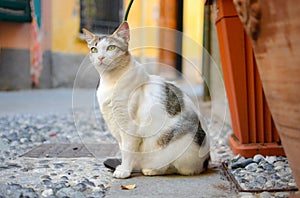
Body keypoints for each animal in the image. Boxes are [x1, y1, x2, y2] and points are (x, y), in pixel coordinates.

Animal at [83, 22, 210, 179]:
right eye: (93, 49)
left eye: (111, 47)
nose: (100, 57)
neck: (111, 81)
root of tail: (206, 162)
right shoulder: (116, 126)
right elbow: (124, 149)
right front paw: (126, 166)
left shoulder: (129, 127)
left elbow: (128, 150)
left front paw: (124, 171)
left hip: (177, 145)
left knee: (178, 168)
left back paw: (152, 170)